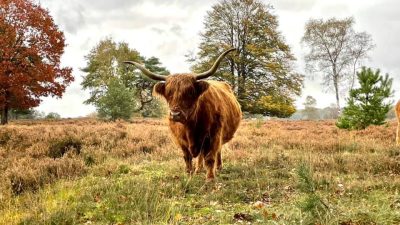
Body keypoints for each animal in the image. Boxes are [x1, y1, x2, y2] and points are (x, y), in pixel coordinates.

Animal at [125, 48, 241, 181]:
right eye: (168, 93)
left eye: (190, 92)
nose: (175, 114)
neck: (191, 125)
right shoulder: (180, 139)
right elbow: (187, 157)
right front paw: (189, 174)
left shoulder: (214, 135)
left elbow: (210, 157)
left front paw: (210, 178)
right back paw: (198, 169)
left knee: (217, 151)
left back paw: (218, 168)